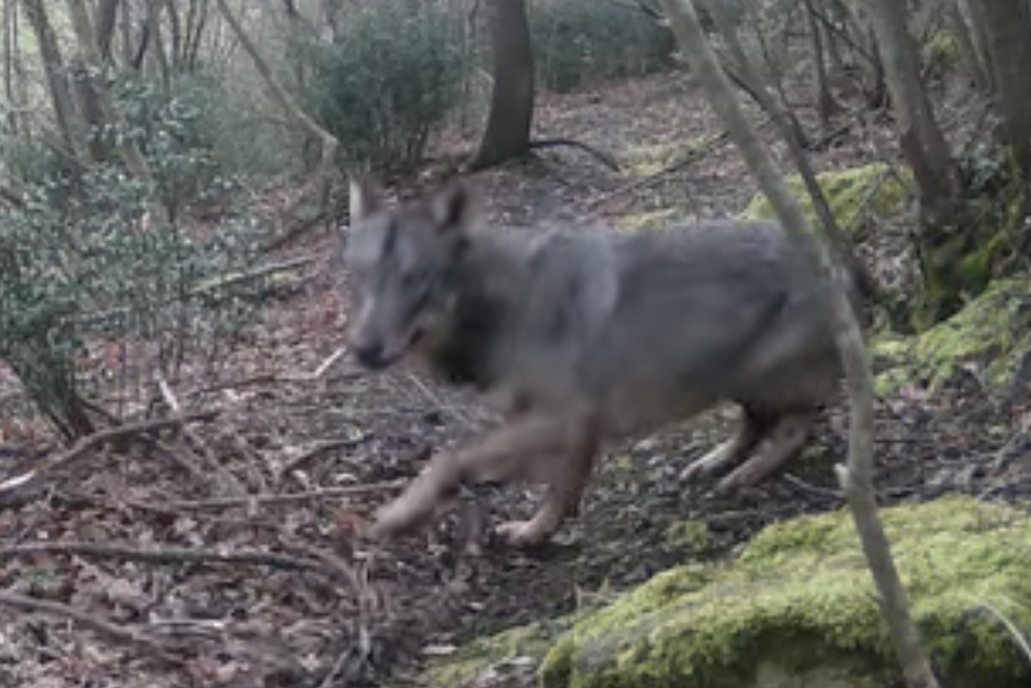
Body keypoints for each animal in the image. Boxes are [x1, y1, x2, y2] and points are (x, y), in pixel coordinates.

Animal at [342, 177, 858, 546]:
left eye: (415, 279)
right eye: (358, 277)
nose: (362, 349)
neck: (502, 306)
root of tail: (830, 254)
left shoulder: (565, 417)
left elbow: (451, 458)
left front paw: (399, 516)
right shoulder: (561, 424)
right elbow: (562, 484)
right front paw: (536, 531)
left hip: (758, 374)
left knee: (798, 424)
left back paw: (748, 472)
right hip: (723, 372)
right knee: (755, 423)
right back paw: (715, 462)